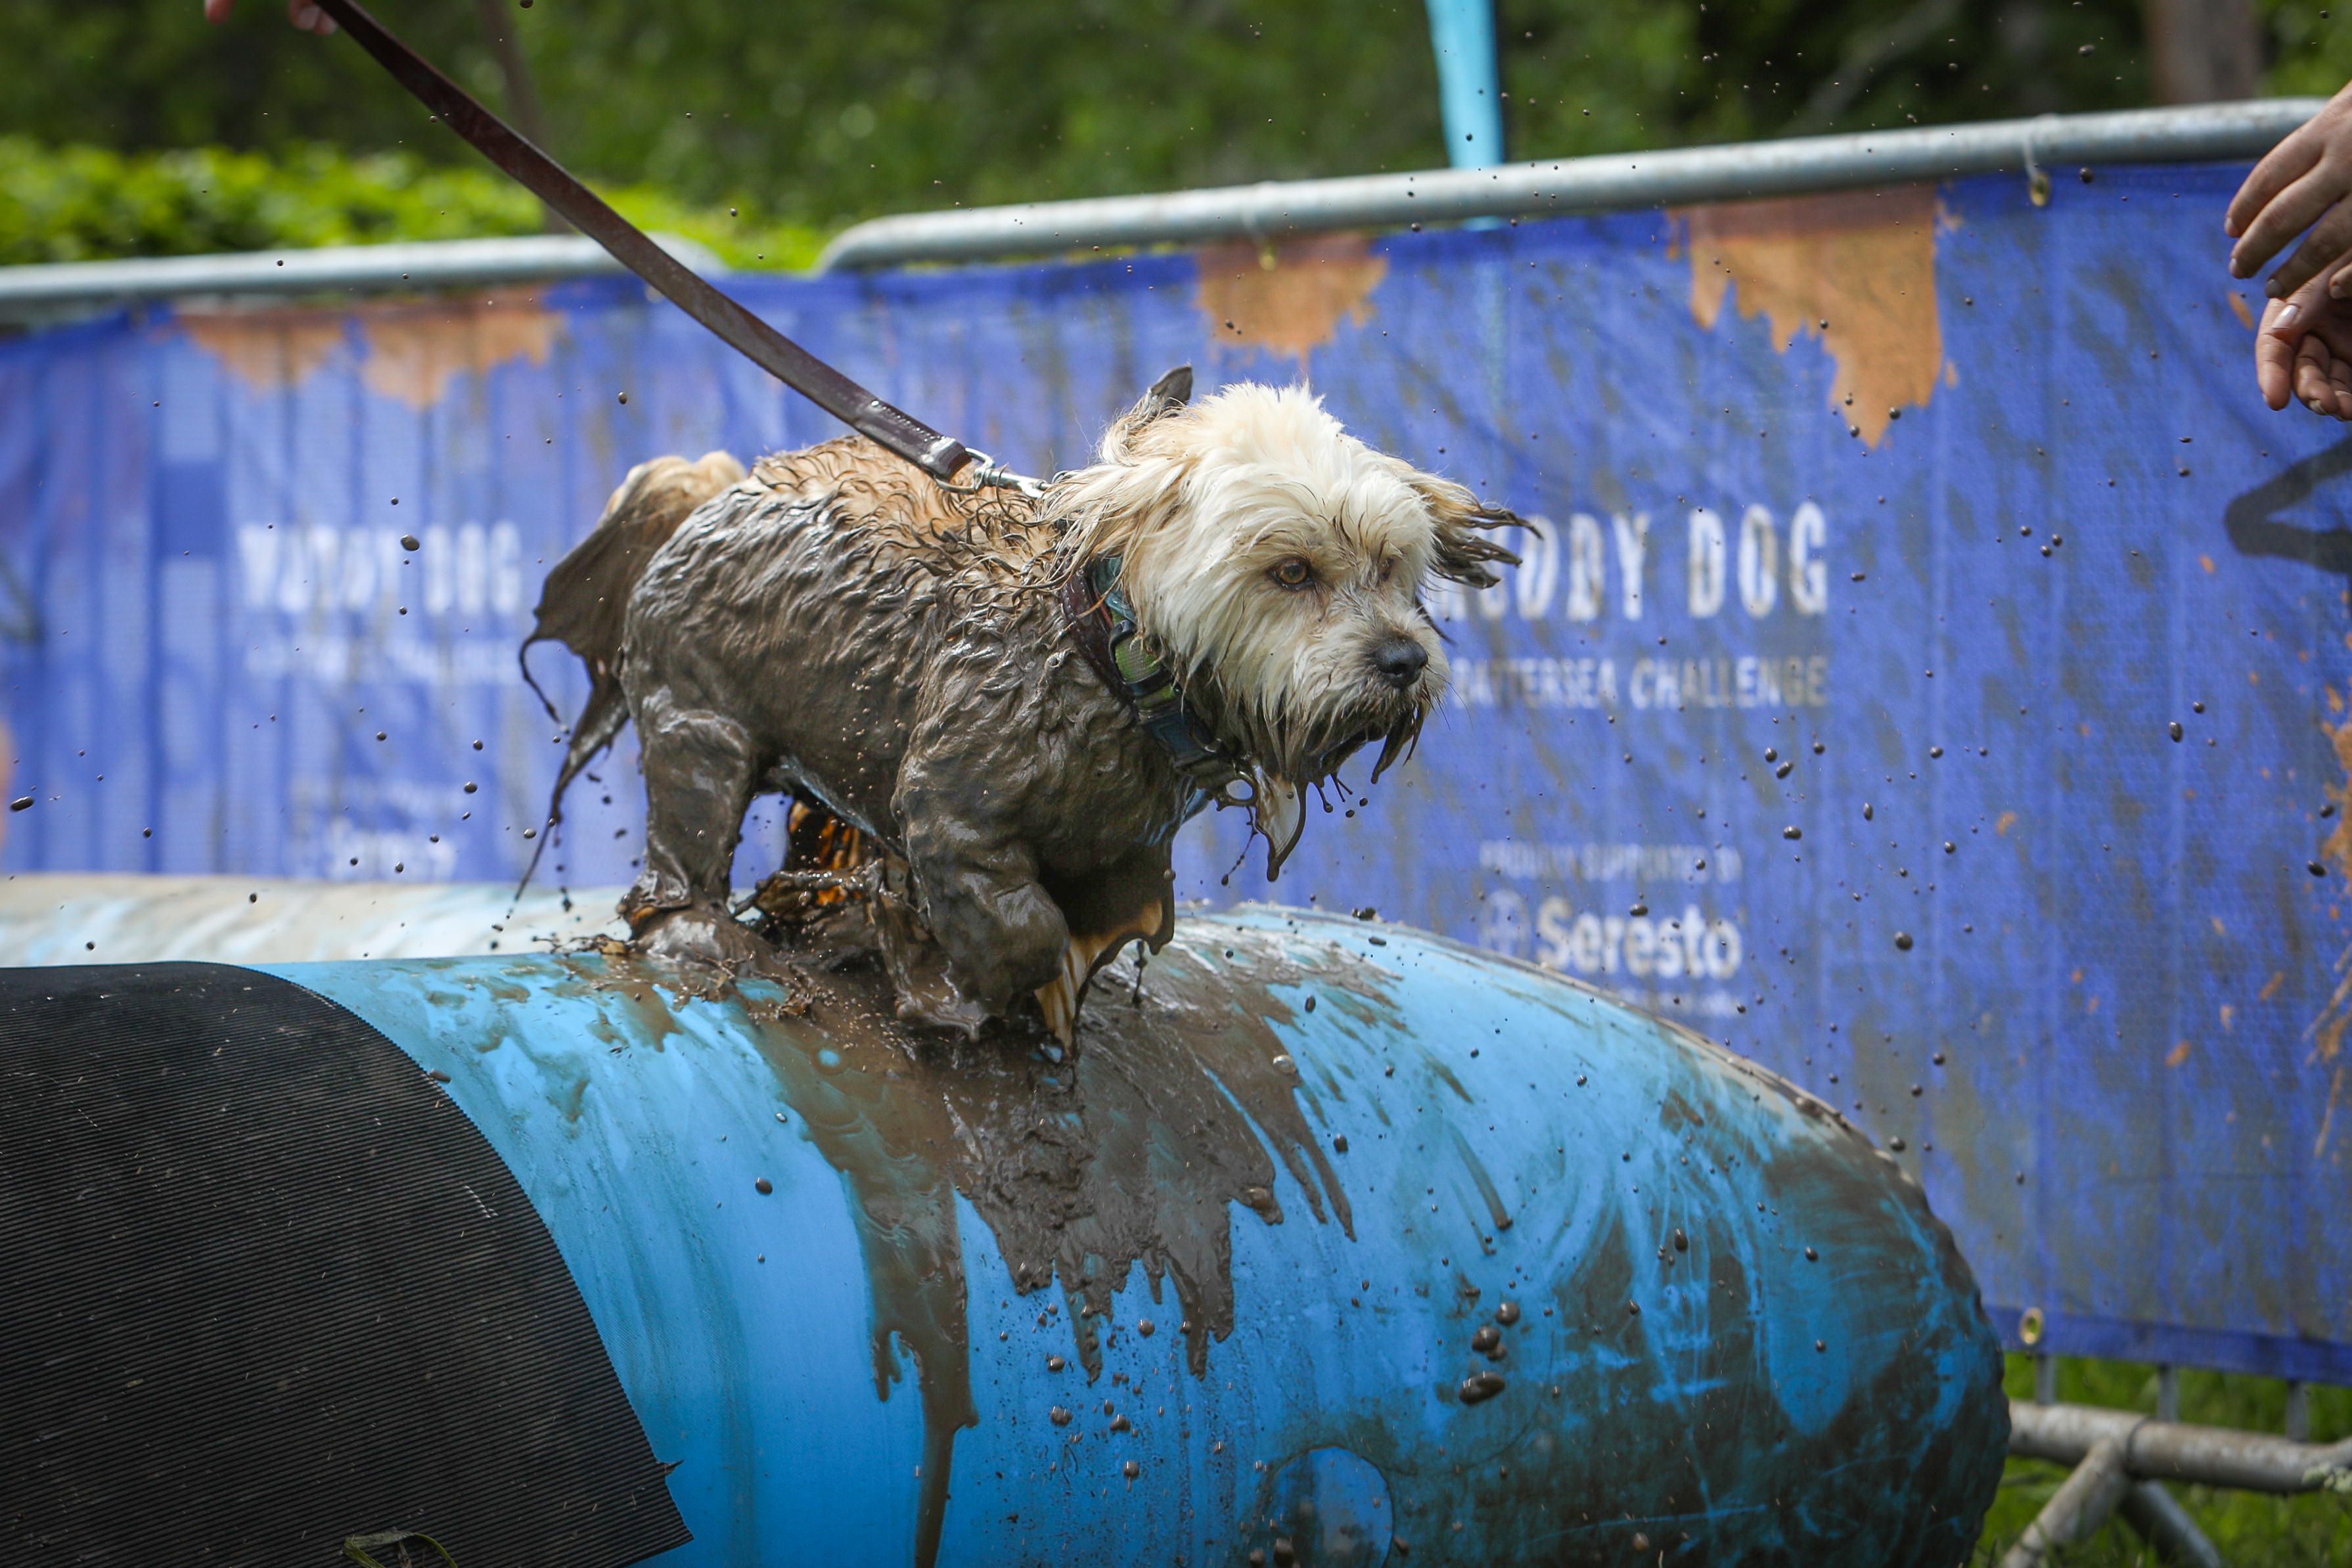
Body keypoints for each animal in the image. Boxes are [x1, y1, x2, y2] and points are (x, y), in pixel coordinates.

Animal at [524, 371, 1514, 1043]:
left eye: (1390, 564)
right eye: (1293, 570)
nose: (1403, 660)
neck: (1106, 660)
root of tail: (703, 492)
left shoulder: (1125, 845)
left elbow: (1101, 903)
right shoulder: (952, 809)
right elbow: (1023, 928)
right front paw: (946, 982)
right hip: (701, 722)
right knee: (680, 848)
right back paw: (700, 932)